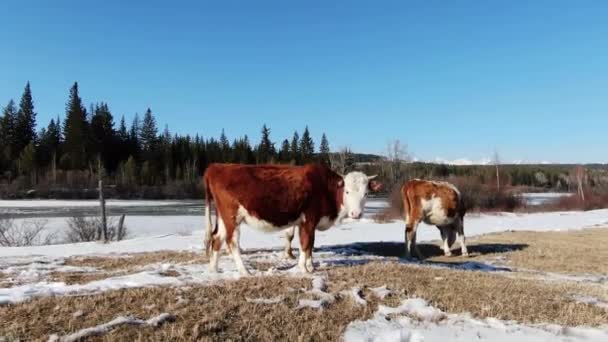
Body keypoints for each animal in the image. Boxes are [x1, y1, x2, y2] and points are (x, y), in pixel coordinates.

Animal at [205, 163, 384, 276]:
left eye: (366, 193)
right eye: (347, 191)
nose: (356, 214)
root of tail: (216, 167)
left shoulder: (310, 222)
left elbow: (311, 245)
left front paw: (311, 267)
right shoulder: (308, 220)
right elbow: (306, 244)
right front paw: (303, 269)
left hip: (223, 217)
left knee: (216, 238)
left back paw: (213, 269)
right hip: (232, 216)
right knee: (232, 242)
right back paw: (244, 271)